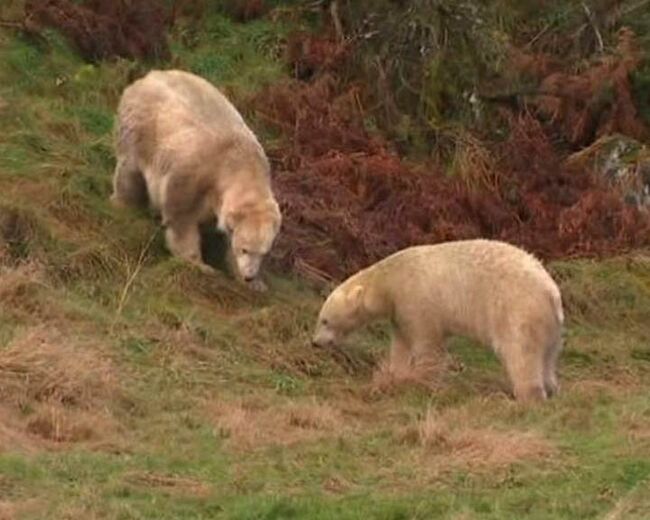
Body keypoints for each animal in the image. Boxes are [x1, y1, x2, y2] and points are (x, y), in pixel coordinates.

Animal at [109, 69, 280, 290]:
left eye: (263, 253)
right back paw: (122, 204)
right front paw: (198, 264)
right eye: (245, 249)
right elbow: (181, 217)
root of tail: (148, 76)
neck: (238, 162)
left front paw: (255, 283)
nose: (250, 275)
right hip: (140, 128)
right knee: (130, 171)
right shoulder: (194, 175)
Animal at [310, 240, 560, 402]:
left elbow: (427, 344)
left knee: (521, 352)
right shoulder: (400, 311)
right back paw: (551, 387)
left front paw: (423, 381)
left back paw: (528, 396)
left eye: (325, 320)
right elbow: (401, 343)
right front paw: (395, 375)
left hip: (516, 308)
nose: (315, 343)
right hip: (548, 322)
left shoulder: (416, 299)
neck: (390, 281)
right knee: (547, 355)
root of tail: (550, 291)